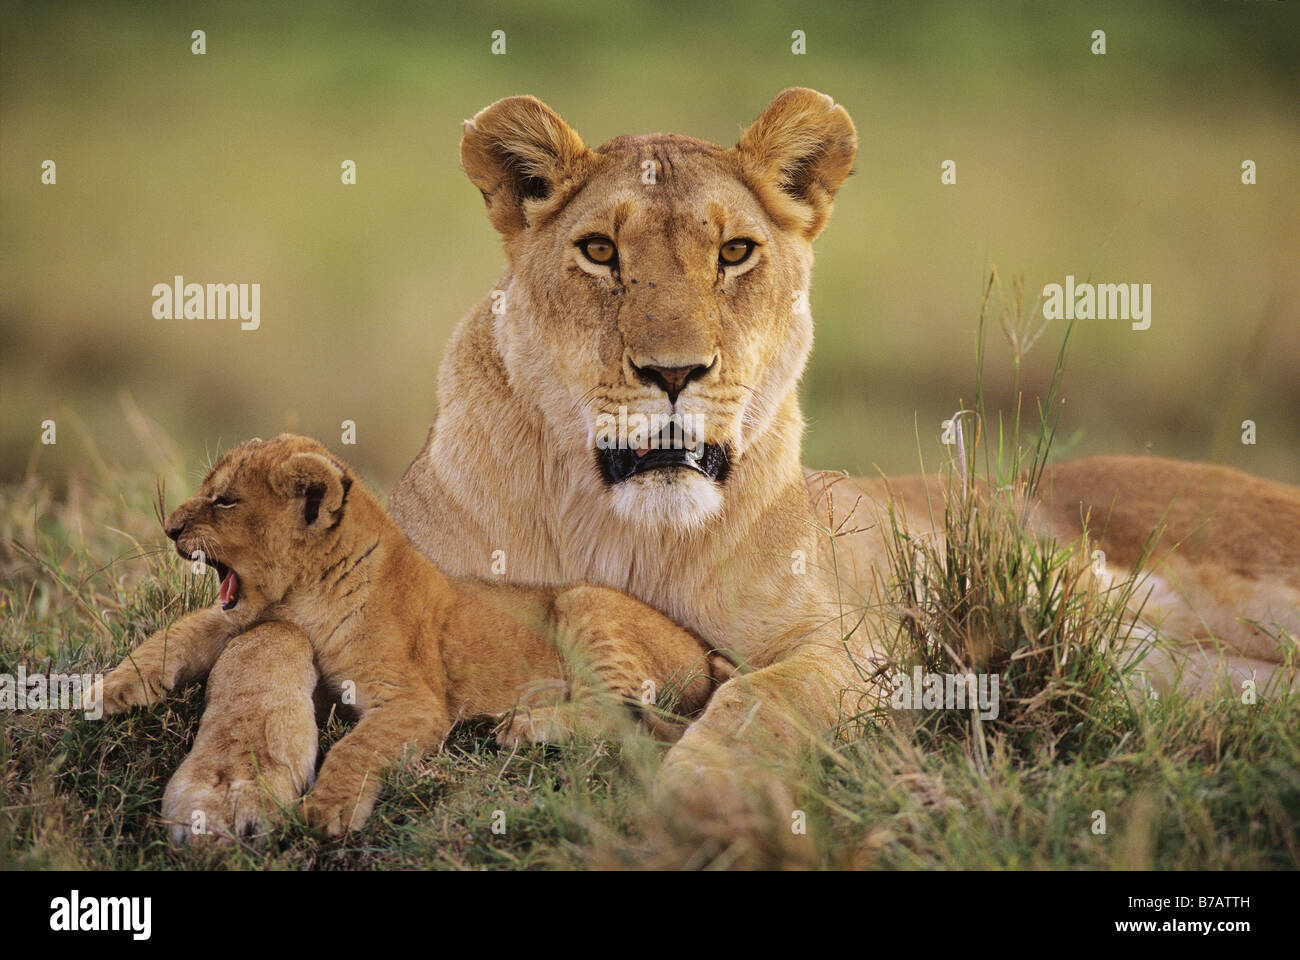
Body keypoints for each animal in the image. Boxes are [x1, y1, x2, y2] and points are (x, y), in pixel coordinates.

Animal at [91, 434, 728, 837]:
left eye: (224, 500)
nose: (169, 527)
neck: (305, 593)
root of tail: (706, 652)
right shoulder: (251, 621)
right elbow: (183, 632)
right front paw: (110, 690)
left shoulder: (416, 700)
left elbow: (357, 747)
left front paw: (328, 810)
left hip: (582, 600)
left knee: (620, 709)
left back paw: (526, 723)